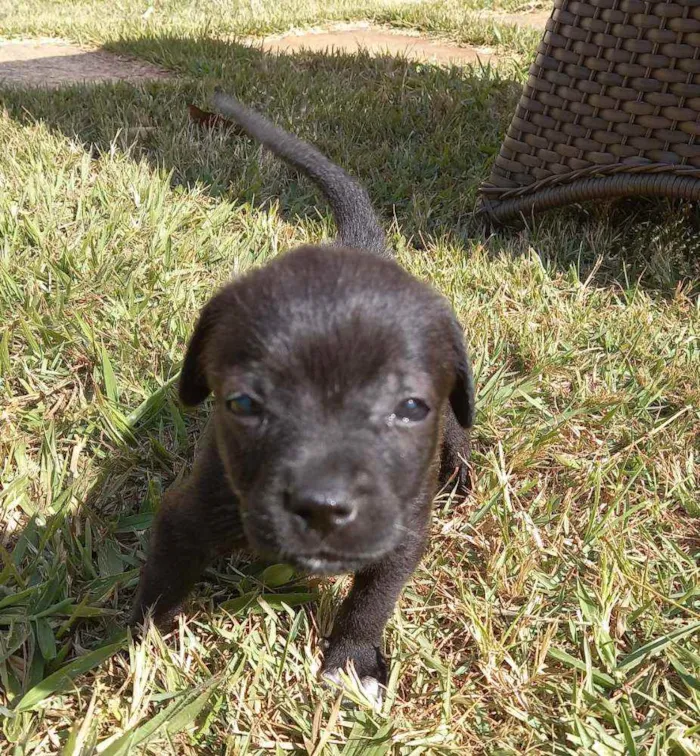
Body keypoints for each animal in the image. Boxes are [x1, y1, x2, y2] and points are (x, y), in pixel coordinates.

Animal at [130, 93, 476, 696]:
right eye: (244, 405)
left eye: (409, 409)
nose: (322, 507)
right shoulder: (187, 513)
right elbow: (162, 580)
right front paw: (139, 640)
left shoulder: (400, 531)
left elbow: (373, 598)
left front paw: (352, 657)